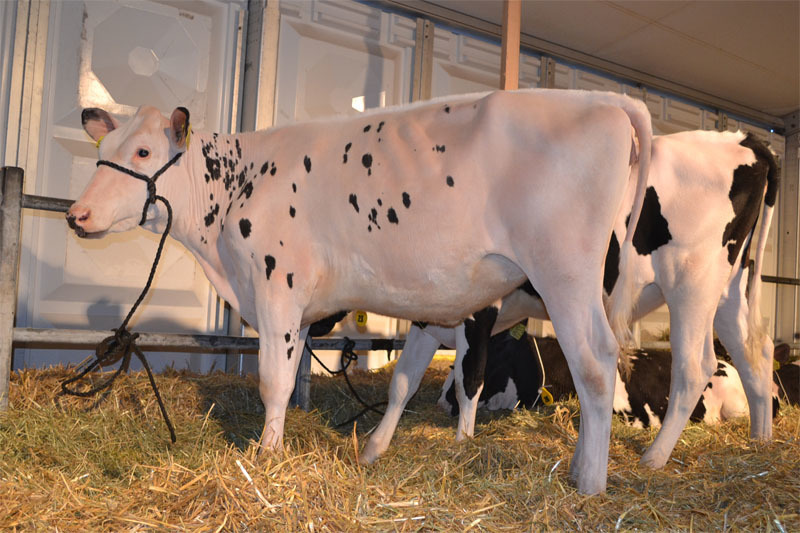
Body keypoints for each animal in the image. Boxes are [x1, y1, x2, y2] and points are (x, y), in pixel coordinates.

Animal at [67, 89, 652, 495]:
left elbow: (272, 382)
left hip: (565, 275)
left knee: (596, 365)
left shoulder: (276, 285)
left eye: (144, 151)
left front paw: (266, 458)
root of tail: (602, 99)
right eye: (102, 150)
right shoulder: (301, 308)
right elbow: (321, 379)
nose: (77, 214)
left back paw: (590, 481)